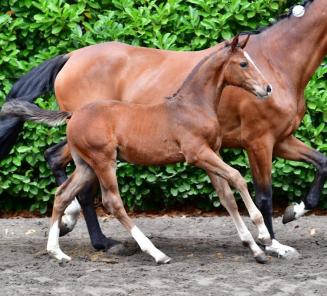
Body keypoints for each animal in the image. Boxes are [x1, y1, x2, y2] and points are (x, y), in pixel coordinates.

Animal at [1, 35, 272, 264]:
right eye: (243, 63)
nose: (267, 88)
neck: (192, 105)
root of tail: (73, 115)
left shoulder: (211, 153)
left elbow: (227, 197)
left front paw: (255, 248)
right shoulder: (197, 154)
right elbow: (238, 177)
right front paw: (263, 235)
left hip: (86, 165)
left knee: (62, 195)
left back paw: (57, 251)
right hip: (104, 161)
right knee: (112, 201)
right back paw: (155, 253)